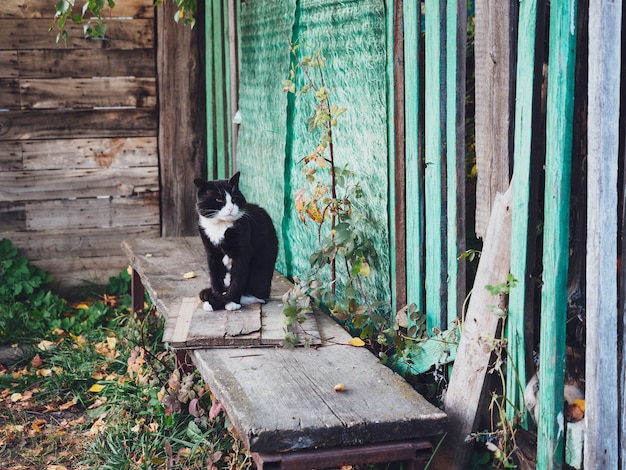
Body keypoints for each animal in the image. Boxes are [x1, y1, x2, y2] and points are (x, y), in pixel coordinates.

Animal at [191, 172, 276, 312]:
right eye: (219, 199)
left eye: (235, 198)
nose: (231, 208)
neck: (220, 226)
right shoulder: (212, 254)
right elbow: (215, 277)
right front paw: (216, 297)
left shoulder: (242, 252)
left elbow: (237, 279)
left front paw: (230, 302)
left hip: (260, 275)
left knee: (259, 296)